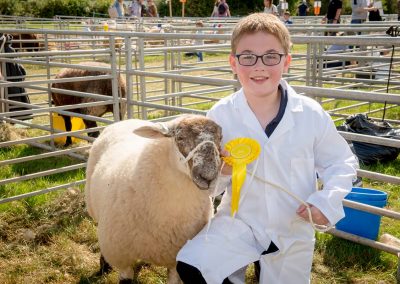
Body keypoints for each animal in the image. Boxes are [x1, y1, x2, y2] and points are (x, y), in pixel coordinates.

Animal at [85, 114, 222, 282]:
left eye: (220, 138)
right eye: (180, 137)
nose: (208, 176)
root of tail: (127, 120)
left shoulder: (174, 260)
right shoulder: (122, 258)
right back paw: (104, 267)